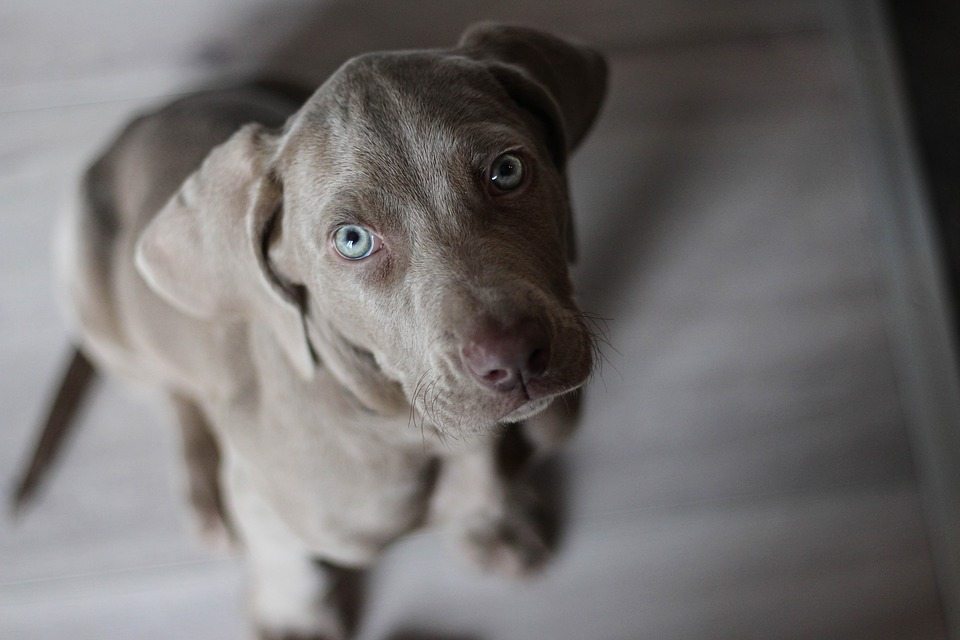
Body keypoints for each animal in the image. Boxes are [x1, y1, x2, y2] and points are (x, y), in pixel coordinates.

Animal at [11, 23, 604, 640]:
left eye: (506, 171)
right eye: (352, 240)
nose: (513, 358)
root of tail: (138, 122)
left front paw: (494, 524)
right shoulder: (264, 500)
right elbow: (286, 557)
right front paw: (292, 617)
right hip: (90, 293)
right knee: (173, 396)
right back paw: (204, 492)